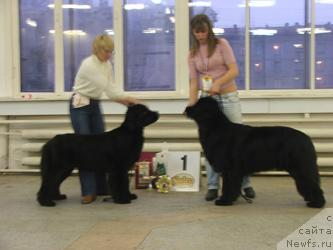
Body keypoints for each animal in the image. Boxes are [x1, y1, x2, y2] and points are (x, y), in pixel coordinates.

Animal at [185, 96, 326, 208]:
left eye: (197, 104)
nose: (186, 108)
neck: (215, 127)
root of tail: (307, 138)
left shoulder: (230, 170)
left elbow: (228, 186)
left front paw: (224, 201)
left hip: (301, 167)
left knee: (312, 184)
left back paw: (317, 204)